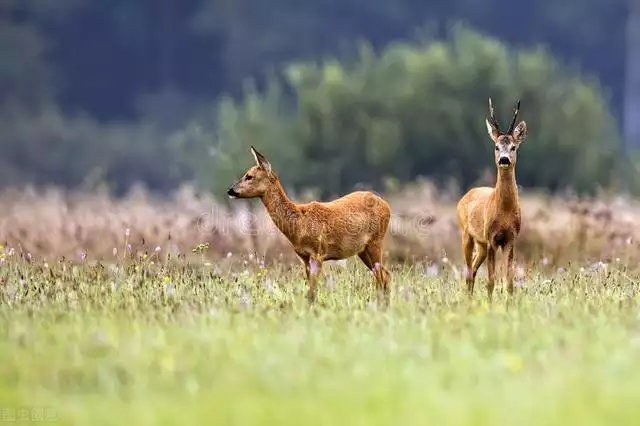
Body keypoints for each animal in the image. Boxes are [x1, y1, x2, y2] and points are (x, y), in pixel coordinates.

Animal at [228, 148, 392, 304]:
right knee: (385, 276)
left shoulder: (318, 252)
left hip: (376, 241)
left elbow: (312, 293)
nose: (230, 190)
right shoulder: (304, 257)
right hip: (363, 250)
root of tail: (386, 205)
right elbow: (311, 291)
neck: (298, 225)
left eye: (249, 176)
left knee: (382, 277)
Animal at [458, 98, 528, 302]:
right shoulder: (491, 238)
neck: (504, 211)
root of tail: (467, 194)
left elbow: (509, 283)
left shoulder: (511, 238)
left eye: (513, 147)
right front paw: (490, 306)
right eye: (496, 146)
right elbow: (490, 281)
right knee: (468, 272)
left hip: (480, 245)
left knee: (472, 271)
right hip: (466, 235)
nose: (504, 159)